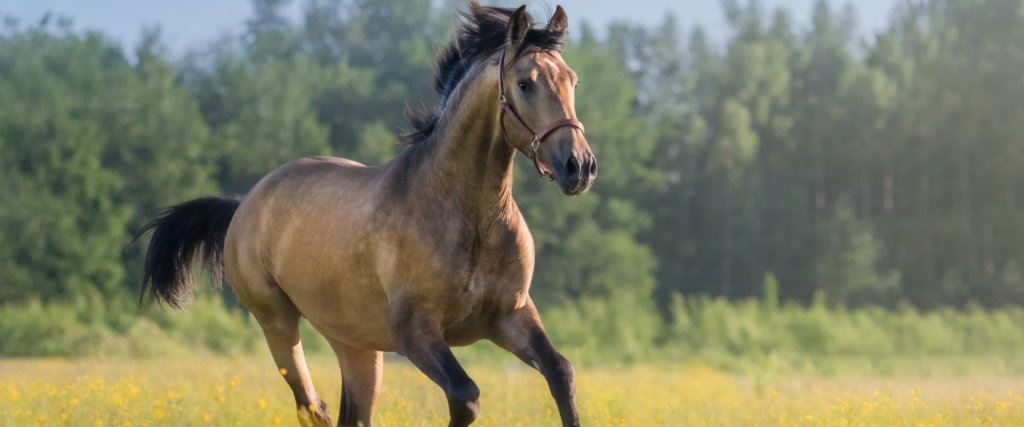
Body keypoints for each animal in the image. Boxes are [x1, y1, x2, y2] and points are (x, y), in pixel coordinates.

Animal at [137, 3, 596, 426]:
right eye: (525, 84)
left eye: (572, 80)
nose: (579, 166)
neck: (470, 217)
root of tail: (244, 203)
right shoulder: (415, 333)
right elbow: (465, 397)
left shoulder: (510, 315)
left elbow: (562, 373)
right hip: (278, 324)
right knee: (313, 408)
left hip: (355, 346)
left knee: (350, 414)